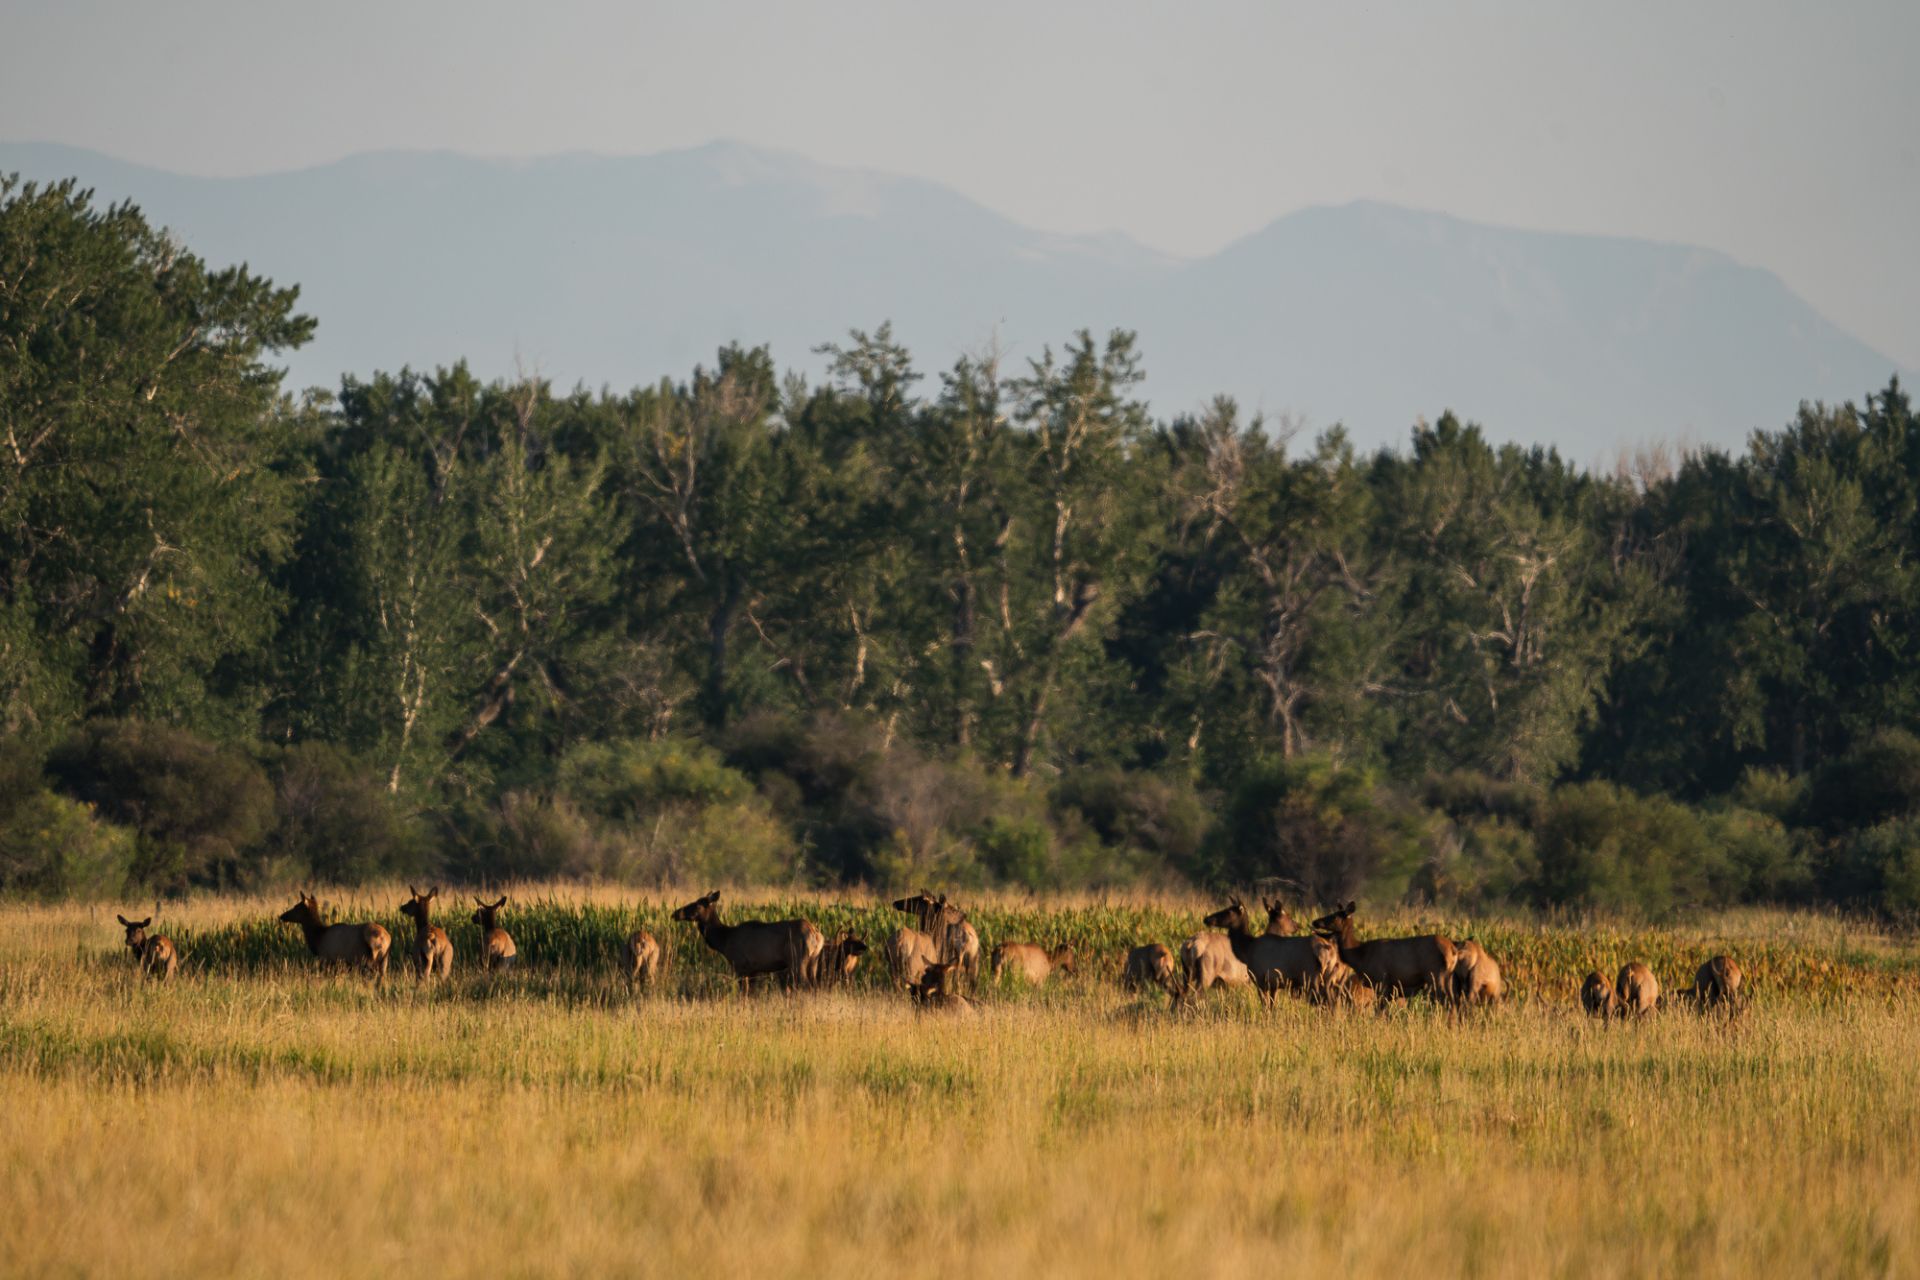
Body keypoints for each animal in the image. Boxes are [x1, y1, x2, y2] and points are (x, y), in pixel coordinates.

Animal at [675, 890, 825, 990]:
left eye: (697, 904)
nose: (675, 913)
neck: (724, 940)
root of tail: (816, 935)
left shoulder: (739, 965)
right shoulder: (754, 970)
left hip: (797, 959)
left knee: (806, 985)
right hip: (813, 960)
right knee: (815, 986)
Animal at [1205, 898, 1344, 1005]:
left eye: (1228, 911)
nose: (1206, 919)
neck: (1246, 950)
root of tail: (1328, 952)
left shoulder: (1260, 980)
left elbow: (1266, 1006)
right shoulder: (1274, 984)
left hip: (1312, 978)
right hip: (1329, 978)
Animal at [1305, 898, 1451, 1005]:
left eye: (1334, 916)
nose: (1315, 921)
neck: (1360, 955)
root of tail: (1451, 949)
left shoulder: (1381, 982)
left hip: (1435, 976)